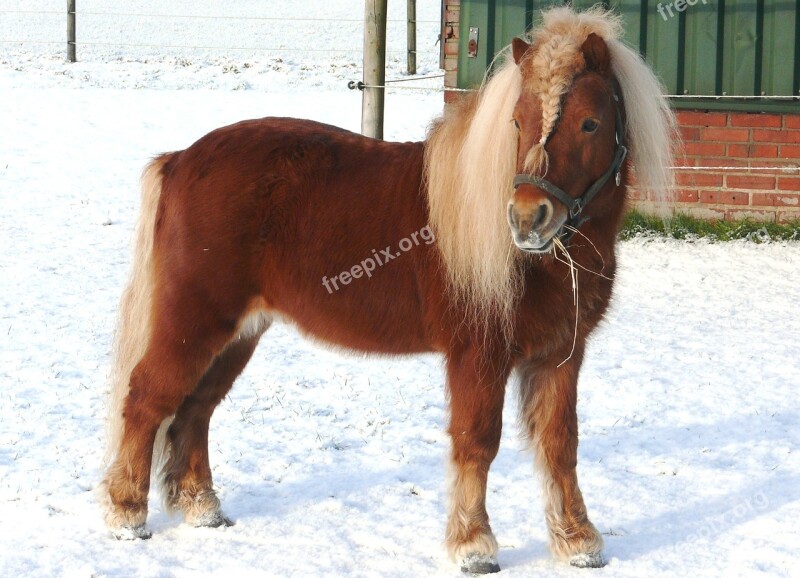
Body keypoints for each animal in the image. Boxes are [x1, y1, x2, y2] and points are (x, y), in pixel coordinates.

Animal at [100, 5, 676, 572]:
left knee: (196, 409)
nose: (527, 218)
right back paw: (127, 514)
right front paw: (473, 545)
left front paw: (577, 540)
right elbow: (477, 441)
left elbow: (560, 444)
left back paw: (202, 508)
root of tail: (179, 160)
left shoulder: (560, 356)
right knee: (147, 397)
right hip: (194, 321)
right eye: (517, 122)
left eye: (590, 123)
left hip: (238, 334)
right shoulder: (478, 355)